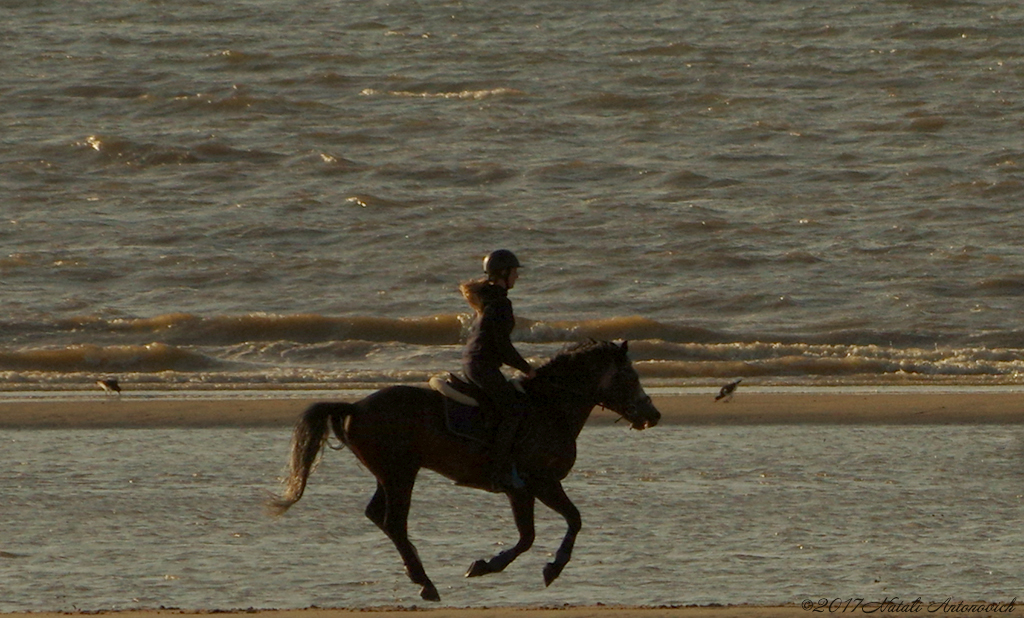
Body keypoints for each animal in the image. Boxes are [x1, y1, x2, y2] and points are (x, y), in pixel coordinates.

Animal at [268, 339, 659, 601]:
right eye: (629, 376)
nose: (653, 415)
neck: (551, 407)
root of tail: (356, 406)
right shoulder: (536, 484)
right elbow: (551, 529)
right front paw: (518, 566)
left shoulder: (527, 489)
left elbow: (550, 528)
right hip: (400, 474)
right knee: (394, 522)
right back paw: (426, 582)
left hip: (390, 474)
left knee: (379, 516)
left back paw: (419, 576)